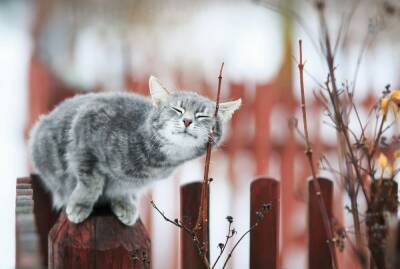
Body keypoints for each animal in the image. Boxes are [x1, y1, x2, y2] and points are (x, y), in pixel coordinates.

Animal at [29, 75, 241, 224]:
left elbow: (124, 187)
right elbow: (91, 183)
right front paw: (80, 204)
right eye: (177, 110)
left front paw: (124, 204)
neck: (157, 162)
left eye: (202, 116)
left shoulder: (132, 182)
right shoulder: (84, 136)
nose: (187, 120)